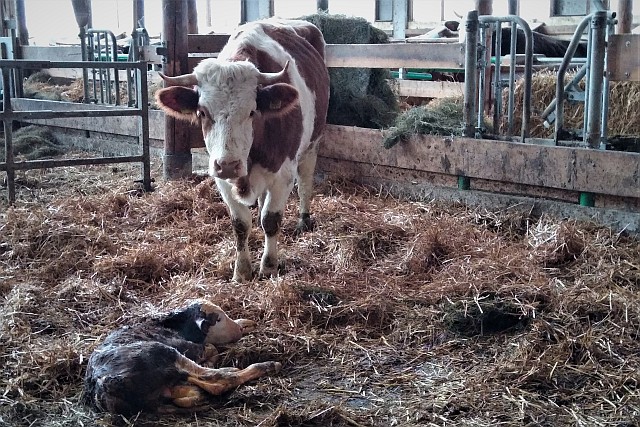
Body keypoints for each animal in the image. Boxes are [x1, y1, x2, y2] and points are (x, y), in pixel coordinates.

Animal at [81, 300, 282, 416]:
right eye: (218, 319)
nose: (239, 330)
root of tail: (101, 387)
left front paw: (245, 323)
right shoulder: (186, 347)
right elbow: (211, 348)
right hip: (163, 351)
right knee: (218, 381)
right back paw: (266, 365)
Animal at [156, 18, 330, 282]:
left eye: (252, 111)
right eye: (202, 112)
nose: (228, 164)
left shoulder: (283, 175)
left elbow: (271, 219)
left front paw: (268, 267)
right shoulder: (222, 180)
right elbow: (240, 224)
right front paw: (242, 271)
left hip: (313, 143)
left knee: (305, 182)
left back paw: (303, 220)